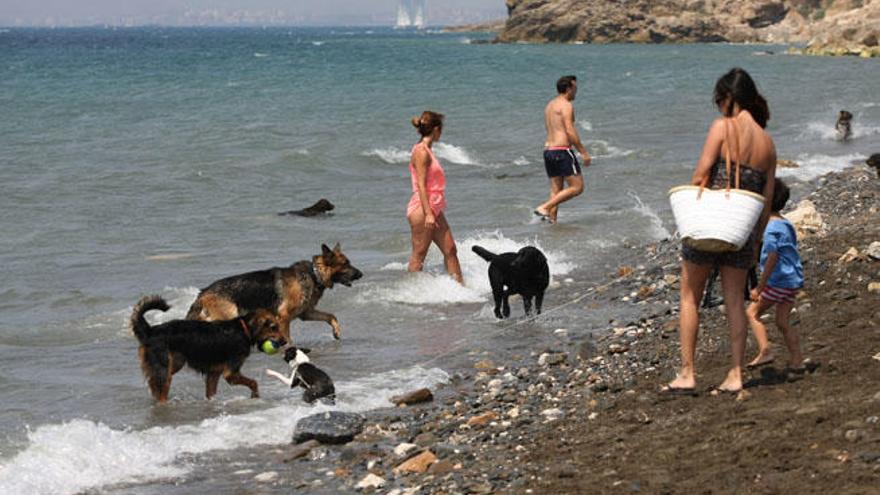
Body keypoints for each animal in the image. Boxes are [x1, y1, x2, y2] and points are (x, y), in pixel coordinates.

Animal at [129, 294, 288, 404]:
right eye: (273, 327)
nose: (285, 342)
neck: (244, 329)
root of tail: (151, 330)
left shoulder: (214, 374)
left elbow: (211, 393)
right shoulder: (231, 373)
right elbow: (253, 382)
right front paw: (255, 396)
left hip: (173, 364)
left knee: (154, 386)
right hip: (164, 368)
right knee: (161, 393)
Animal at [186, 245, 364, 344]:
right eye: (346, 264)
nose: (361, 274)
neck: (314, 274)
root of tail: (203, 293)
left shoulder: (306, 313)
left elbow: (331, 316)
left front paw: (336, 331)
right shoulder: (283, 317)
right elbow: (288, 339)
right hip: (229, 316)